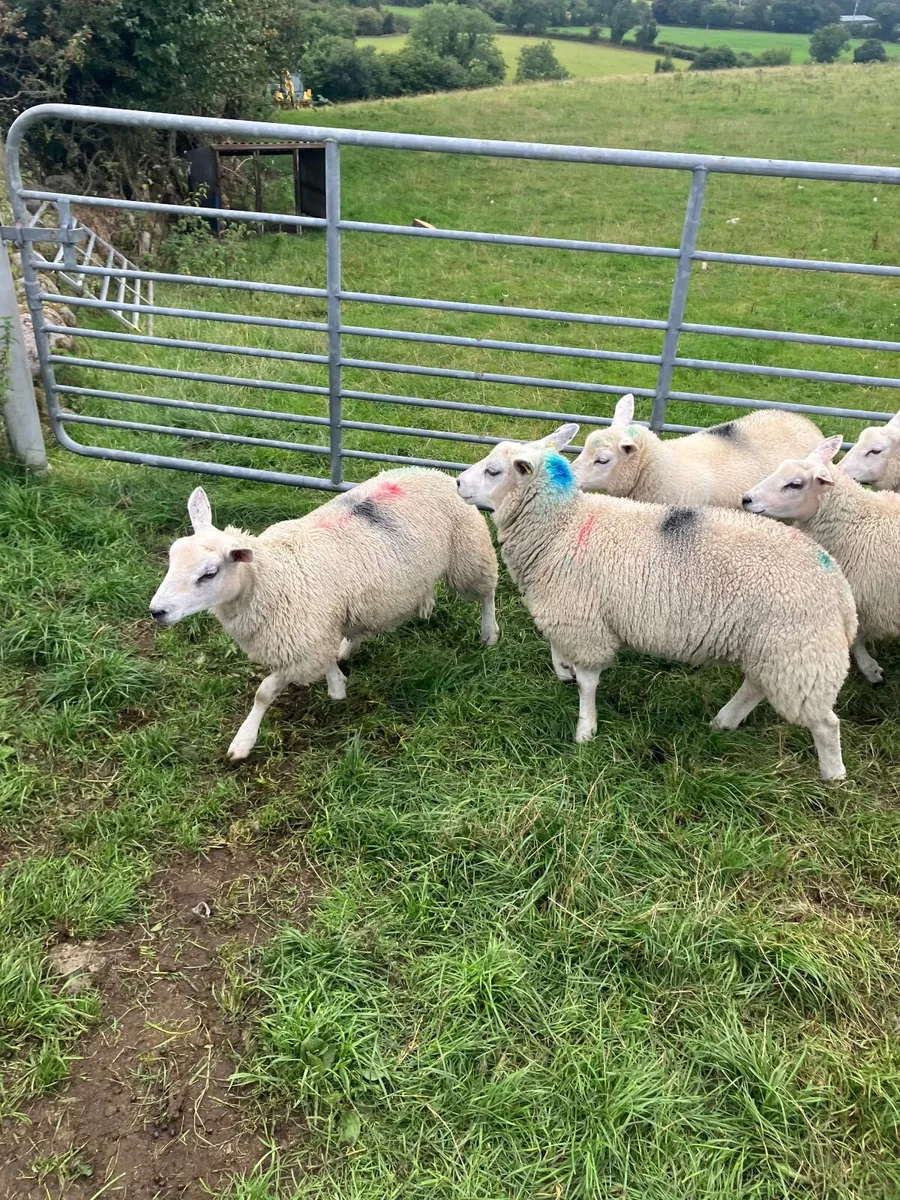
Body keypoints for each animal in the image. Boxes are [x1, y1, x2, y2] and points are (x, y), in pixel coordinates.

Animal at [149, 469, 499, 762]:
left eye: (209, 573)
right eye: (172, 557)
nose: (156, 611)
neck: (273, 577)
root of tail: (433, 472)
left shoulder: (302, 645)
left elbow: (264, 692)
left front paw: (243, 741)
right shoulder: (314, 631)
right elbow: (322, 662)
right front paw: (338, 682)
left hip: (469, 554)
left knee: (487, 593)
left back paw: (489, 633)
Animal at [456, 424, 857, 781]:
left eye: (494, 471)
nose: (458, 483)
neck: (563, 526)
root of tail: (839, 587)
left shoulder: (582, 619)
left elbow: (587, 683)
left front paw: (585, 730)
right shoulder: (568, 610)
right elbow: (556, 647)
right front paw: (562, 671)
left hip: (799, 651)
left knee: (824, 722)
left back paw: (833, 775)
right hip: (776, 649)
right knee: (756, 686)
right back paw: (722, 722)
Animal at [742, 435, 900, 688]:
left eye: (794, 484)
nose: (746, 499)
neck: (859, 520)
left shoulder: (867, 595)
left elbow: (856, 635)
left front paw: (868, 667)